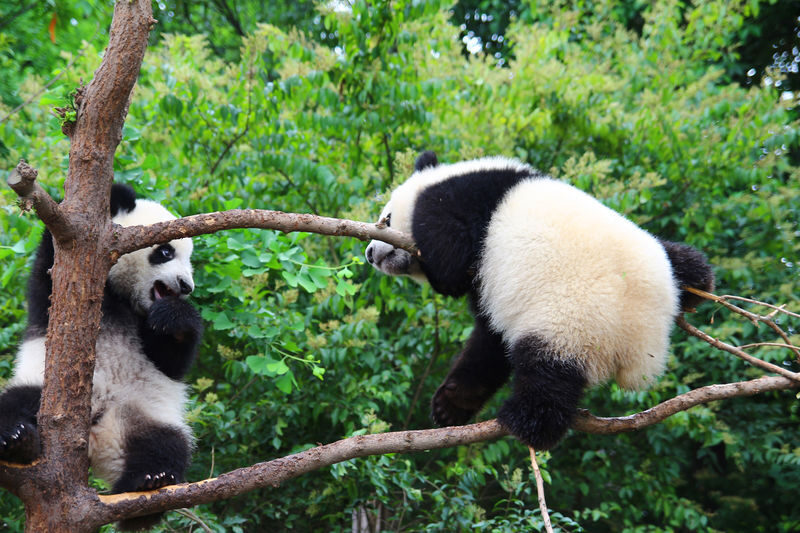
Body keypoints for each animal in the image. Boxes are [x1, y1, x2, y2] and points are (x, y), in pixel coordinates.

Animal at [0, 184, 203, 530]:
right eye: (165, 252)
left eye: (188, 259)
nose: (186, 286)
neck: (123, 298)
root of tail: (95, 442)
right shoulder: (55, 278)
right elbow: (52, 275)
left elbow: (171, 361)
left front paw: (174, 318)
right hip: (42, 390)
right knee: (12, 403)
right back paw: (18, 440)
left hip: (142, 413)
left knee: (167, 445)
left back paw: (149, 484)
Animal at [365, 151, 714, 450]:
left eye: (386, 218)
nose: (370, 252)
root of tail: (645, 337)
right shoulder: (492, 286)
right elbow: (490, 342)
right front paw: (449, 406)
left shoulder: (459, 212)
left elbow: (449, 261)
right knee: (684, 259)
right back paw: (696, 283)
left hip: (569, 323)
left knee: (548, 376)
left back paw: (526, 422)